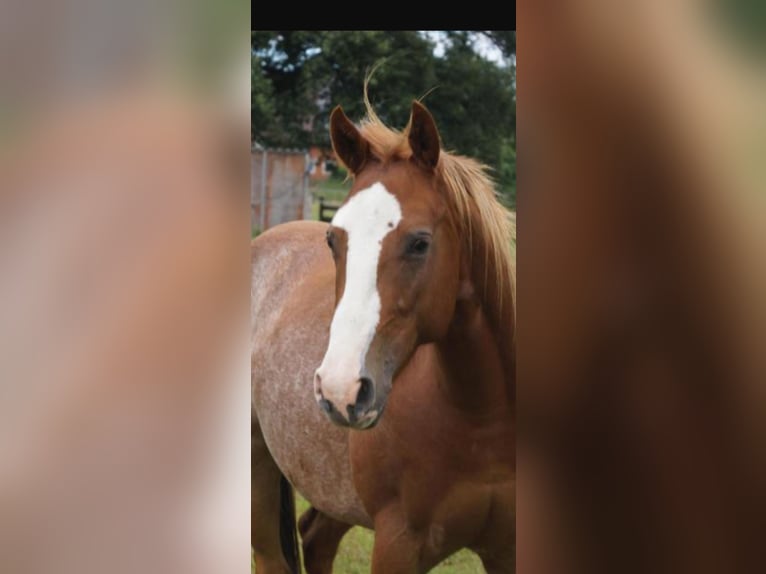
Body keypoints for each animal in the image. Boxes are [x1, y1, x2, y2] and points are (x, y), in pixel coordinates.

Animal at [252, 98, 515, 573]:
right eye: (333, 239)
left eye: (420, 243)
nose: (340, 390)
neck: (482, 419)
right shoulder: (398, 543)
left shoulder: (507, 548)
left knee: (315, 538)